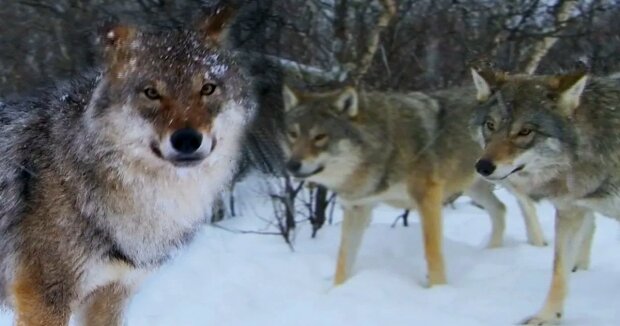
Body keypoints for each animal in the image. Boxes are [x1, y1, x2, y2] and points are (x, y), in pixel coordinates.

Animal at [280, 84, 548, 288]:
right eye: (293, 134)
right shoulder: (357, 208)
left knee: (527, 205)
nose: (291, 165)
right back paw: (491, 252)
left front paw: (438, 290)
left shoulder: (427, 197)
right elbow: (343, 259)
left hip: (509, 178)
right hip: (474, 186)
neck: (383, 147)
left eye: (319, 137)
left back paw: (538, 245)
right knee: (500, 209)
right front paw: (336, 291)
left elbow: (432, 251)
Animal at [470, 67, 620, 324]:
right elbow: (558, 271)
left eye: (525, 131)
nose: (483, 167)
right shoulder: (570, 211)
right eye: (490, 125)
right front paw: (547, 317)